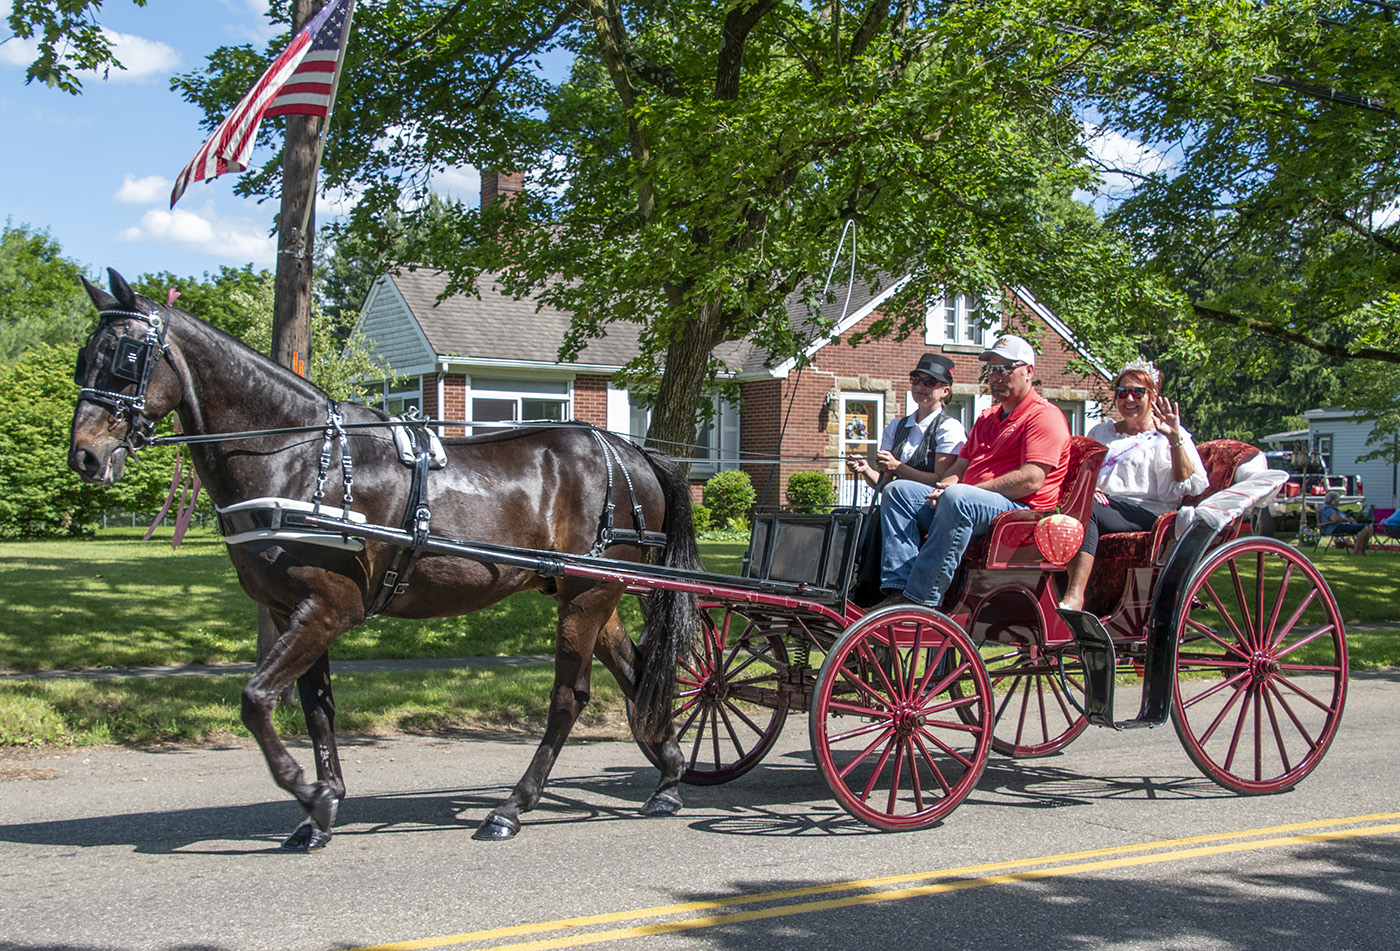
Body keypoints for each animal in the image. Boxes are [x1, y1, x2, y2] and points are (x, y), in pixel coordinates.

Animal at [66, 266, 700, 845]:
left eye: (126, 354)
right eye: (82, 357)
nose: (85, 457)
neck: (299, 457)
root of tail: (631, 452)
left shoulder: (329, 609)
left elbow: (256, 699)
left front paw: (309, 793)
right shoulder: (292, 612)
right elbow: (315, 709)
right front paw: (322, 807)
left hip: (589, 594)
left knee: (570, 699)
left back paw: (512, 807)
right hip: (589, 592)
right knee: (637, 674)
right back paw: (669, 775)